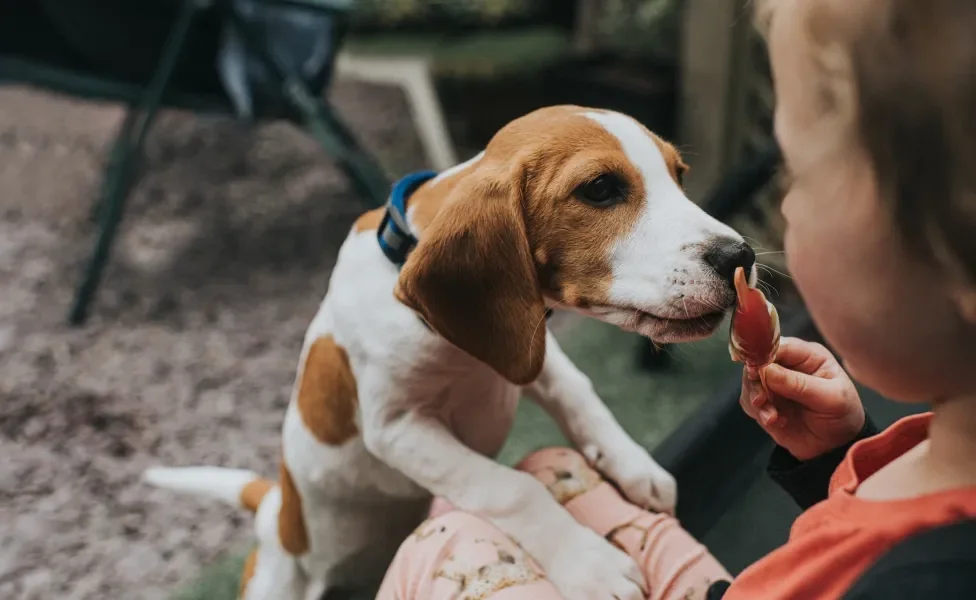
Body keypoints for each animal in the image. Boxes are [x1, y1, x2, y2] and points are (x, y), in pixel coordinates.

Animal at [143, 106, 756, 600]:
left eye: (679, 176)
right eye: (600, 188)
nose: (741, 256)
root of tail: (275, 509)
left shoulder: (528, 354)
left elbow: (582, 398)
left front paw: (633, 466)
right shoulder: (398, 428)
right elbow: (510, 486)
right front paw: (589, 562)